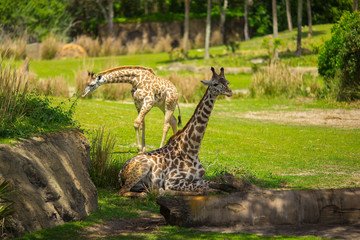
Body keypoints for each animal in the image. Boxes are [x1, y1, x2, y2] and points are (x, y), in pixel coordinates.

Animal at [116, 66, 232, 197]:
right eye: (215, 83)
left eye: (227, 82)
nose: (229, 92)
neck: (192, 150)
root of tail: (120, 172)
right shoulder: (172, 180)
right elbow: (204, 190)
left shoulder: (198, 178)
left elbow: (220, 185)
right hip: (143, 168)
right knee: (122, 192)